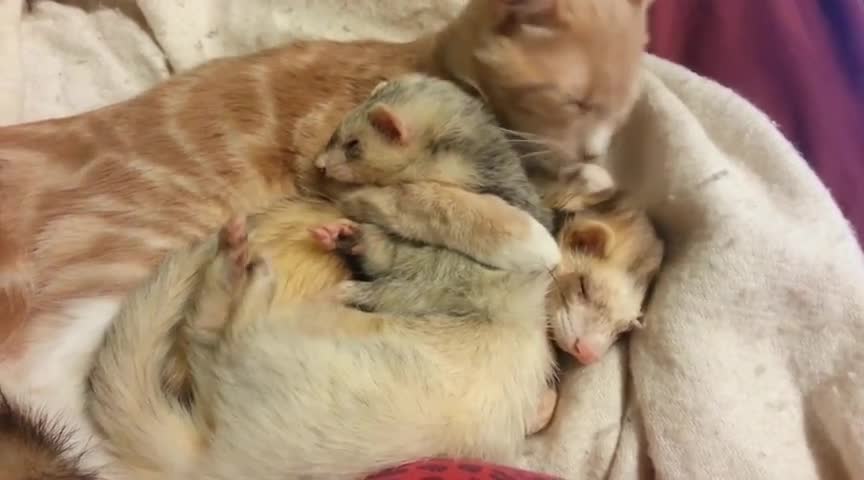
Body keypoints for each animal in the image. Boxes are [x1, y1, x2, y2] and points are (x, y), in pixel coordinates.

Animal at [0, 0, 652, 408]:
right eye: (574, 101)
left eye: (620, 109)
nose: (598, 146)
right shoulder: (335, 163)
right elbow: (434, 197)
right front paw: (530, 233)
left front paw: (587, 178)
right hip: (140, 242)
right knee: (32, 373)